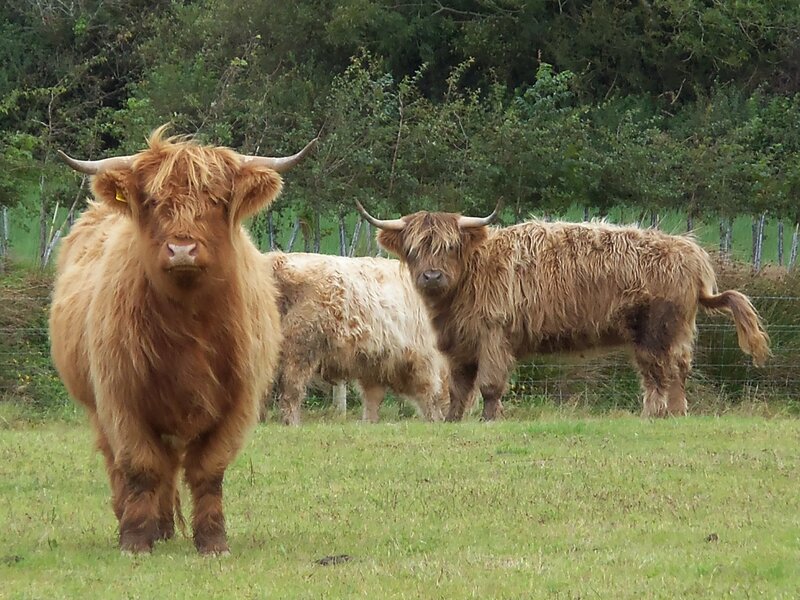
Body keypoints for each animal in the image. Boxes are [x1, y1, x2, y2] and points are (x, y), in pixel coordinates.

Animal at [49, 126, 315, 554]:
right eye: (154, 201)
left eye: (217, 200)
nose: (182, 249)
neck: (188, 325)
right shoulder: (121, 397)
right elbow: (140, 465)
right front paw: (135, 539)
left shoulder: (237, 401)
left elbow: (209, 469)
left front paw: (213, 540)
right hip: (97, 407)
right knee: (122, 464)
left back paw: (165, 526)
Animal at [267, 252, 457, 424]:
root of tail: (279, 259)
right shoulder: (423, 359)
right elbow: (430, 394)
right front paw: (436, 420)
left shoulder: (374, 363)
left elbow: (372, 399)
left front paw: (369, 423)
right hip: (300, 349)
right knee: (291, 390)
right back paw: (292, 423)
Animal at [356, 201, 771, 422]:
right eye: (414, 248)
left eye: (449, 246)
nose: (431, 275)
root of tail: (692, 253)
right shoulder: (460, 343)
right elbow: (458, 388)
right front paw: (453, 421)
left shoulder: (494, 335)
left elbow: (489, 385)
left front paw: (490, 419)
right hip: (674, 331)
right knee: (676, 370)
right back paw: (674, 412)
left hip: (655, 331)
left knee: (660, 373)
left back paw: (656, 414)